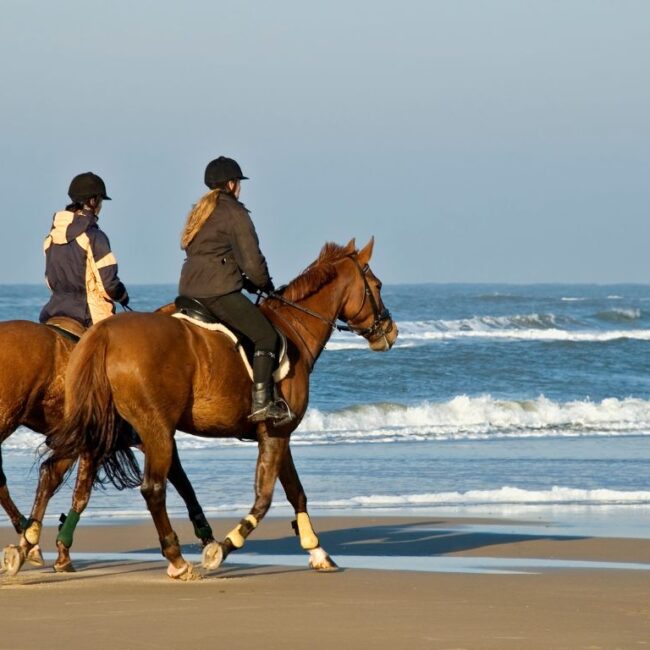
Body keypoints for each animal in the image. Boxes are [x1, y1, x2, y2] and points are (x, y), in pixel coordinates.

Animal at [44, 238, 394, 576]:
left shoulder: (279, 435)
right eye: (377, 285)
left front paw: (317, 551)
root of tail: (105, 334)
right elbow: (264, 498)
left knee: (80, 479)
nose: (390, 330)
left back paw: (59, 550)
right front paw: (222, 549)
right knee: (152, 488)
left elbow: (296, 491)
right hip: (155, 431)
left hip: (110, 428)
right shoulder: (276, 433)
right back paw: (177, 561)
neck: (294, 327)